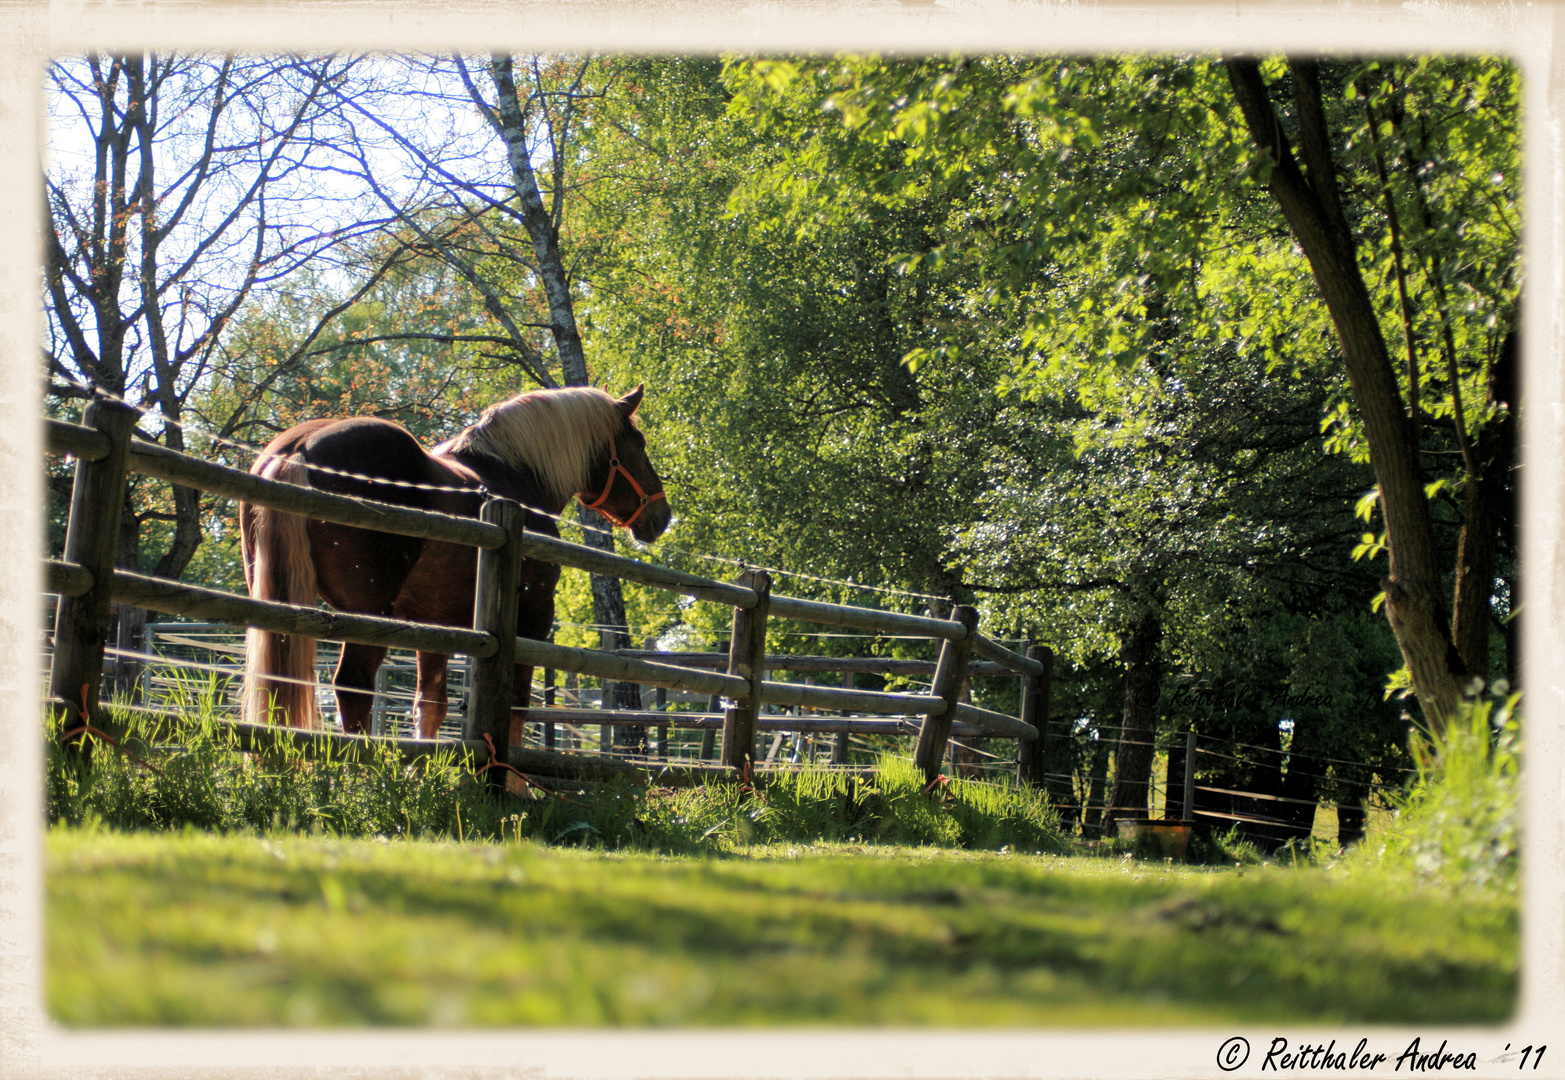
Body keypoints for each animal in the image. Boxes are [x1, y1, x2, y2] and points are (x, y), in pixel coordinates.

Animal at [236, 383, 666, 745]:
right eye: (639, 443)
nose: (662, 516)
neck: (515, 475)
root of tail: (300, 449)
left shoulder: (436, 623)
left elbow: (431, 705)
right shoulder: (533, 616)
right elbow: (516, 706)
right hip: (368, 613)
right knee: (353, 686)